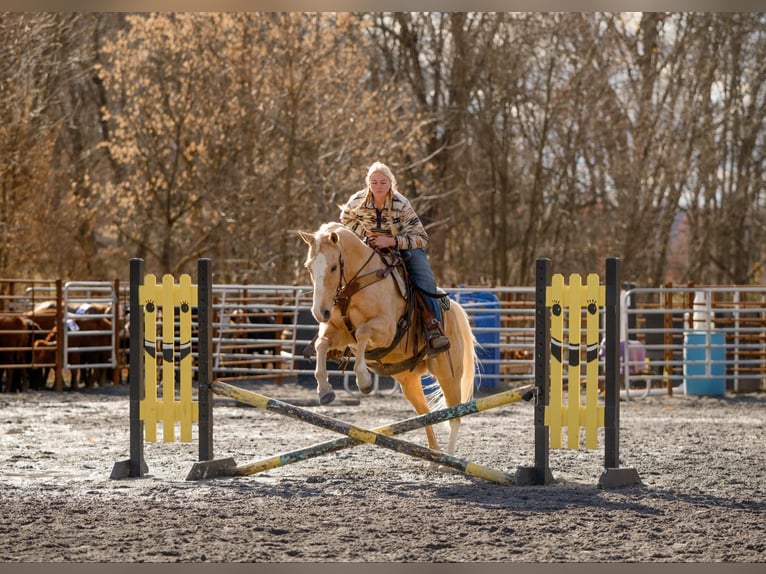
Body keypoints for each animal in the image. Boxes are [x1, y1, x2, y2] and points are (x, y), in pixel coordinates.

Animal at [302, 222, 476, 460]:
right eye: (309, 267)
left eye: (333, 268)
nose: (320, 313)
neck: (358, 283)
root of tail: (455, 310)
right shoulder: (338, 333)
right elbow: (322, 344)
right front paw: (324, 390)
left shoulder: (386, 330)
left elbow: (363, 332)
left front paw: (364, 380)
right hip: (408, 380)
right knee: (426, 415)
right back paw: (433, 458)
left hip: (448, 375)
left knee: (454, 416)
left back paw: (446, 460)